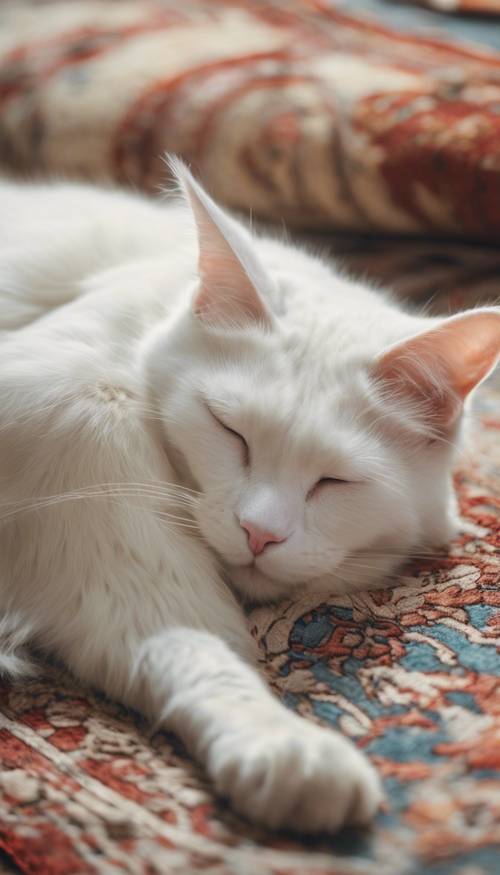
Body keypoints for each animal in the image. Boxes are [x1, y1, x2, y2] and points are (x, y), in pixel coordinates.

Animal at [0, 157, 500, 836]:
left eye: (334, 482)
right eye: (229, 431)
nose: (260, 532)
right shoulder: (75, 405)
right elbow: (175, 621)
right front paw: (277, 744)